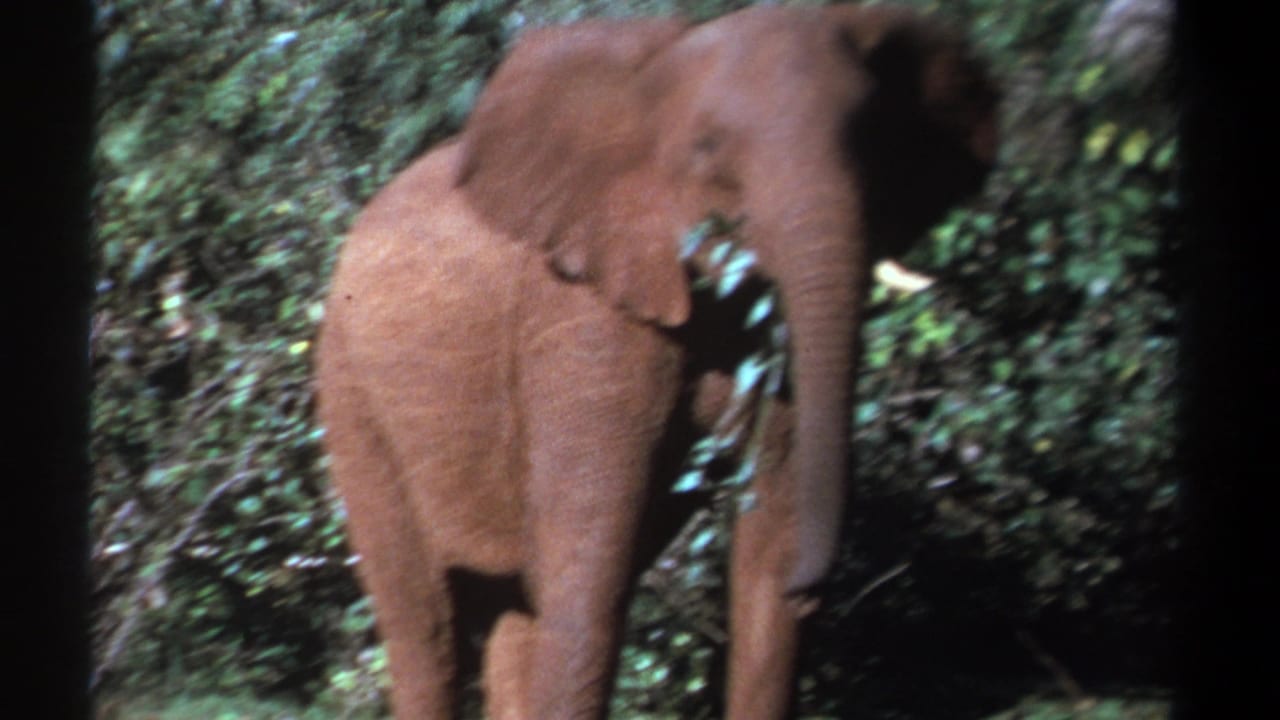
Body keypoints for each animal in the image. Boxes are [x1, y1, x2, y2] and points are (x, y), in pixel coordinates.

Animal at [315, 3, 998, 718]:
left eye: (874, 138)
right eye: (708, 149)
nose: (817, 586)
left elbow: (766, 552)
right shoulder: (580, 310)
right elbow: (590, 576)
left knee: (514, 614)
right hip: (350, 395)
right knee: (426, 625)